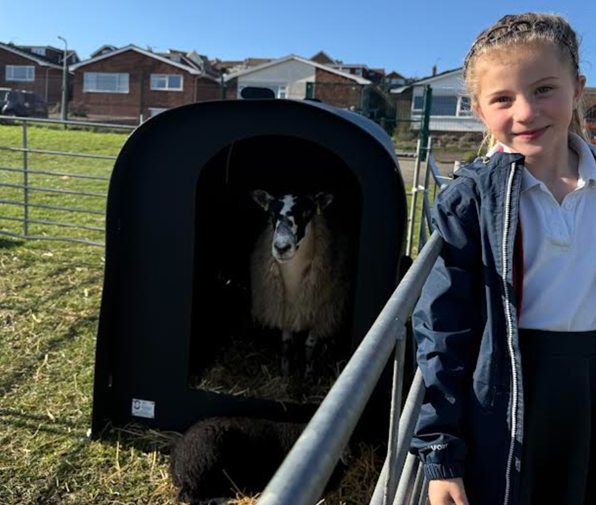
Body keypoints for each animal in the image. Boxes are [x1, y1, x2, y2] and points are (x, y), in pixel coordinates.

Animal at [249, 189, 350, 377]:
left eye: (307, 212)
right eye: (271, 214)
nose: (282, 248)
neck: (293, 283)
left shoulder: (320, 313)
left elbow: (309, 347)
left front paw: (308, 377)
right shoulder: (285, 310)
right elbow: (286, 345)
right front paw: (284, 373)